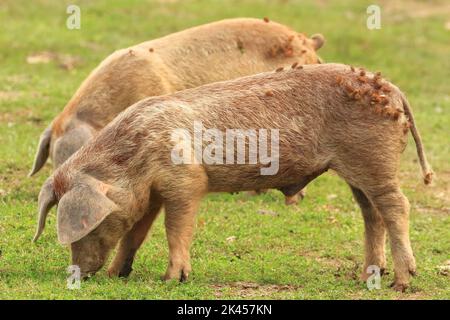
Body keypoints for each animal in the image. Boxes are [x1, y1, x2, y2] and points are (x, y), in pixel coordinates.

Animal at [31, 63, 432, 292]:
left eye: (88, 222)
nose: (77, 273)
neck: (134, 156)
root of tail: (394, 90)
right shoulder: (151, 194)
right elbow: (135, 234)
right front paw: (117, 275)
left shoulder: (186, 182)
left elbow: (175, 228)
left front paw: (171, 280)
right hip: (356, 170)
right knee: (371, 214)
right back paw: (366, 277)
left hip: (373, 159)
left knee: (397, 206)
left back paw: (401, 282)